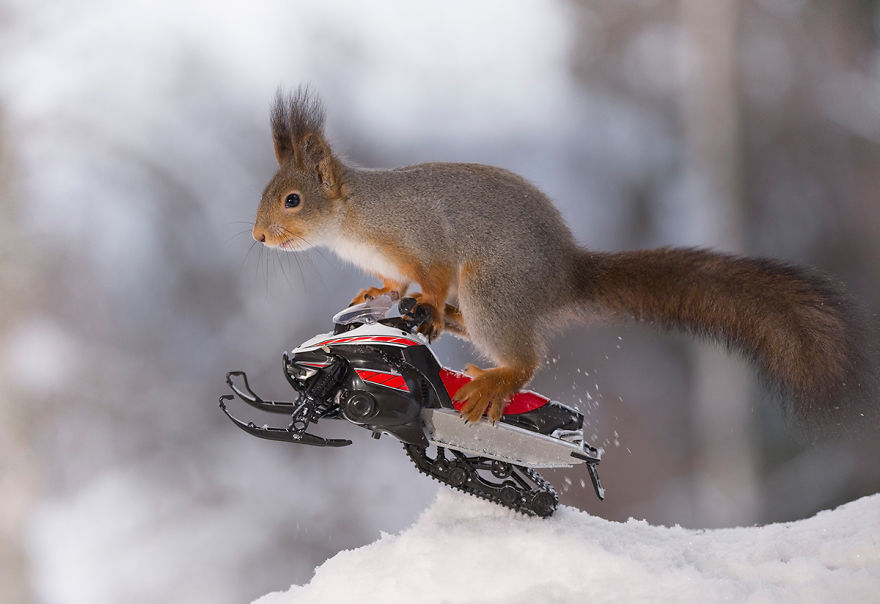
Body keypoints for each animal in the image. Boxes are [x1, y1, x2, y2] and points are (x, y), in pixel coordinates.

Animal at [252, 87, 877, 430]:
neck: (352, 222)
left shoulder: (421, 237)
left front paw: (418, 300)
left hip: (492, 286)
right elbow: (393, 286)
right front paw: (375, 296)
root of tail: (564, 278)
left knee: (526, 356)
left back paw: (493, 375)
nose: (258, 236)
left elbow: (430, 274)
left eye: (292, 199)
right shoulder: (390, 262)